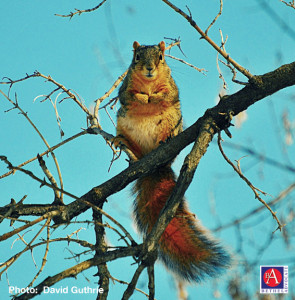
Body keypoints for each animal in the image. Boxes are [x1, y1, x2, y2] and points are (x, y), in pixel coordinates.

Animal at [113, 40, 231, 282]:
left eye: (161, 57)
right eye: (137, 57)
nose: (149, 68)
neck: (149, 84)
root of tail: (153, 165)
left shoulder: (172, 87)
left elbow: (168, 95)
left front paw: (155, 98)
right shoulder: (125, 89)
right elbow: (128, 96)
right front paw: (142, 98)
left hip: (173, 120)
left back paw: (165, 140)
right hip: (123, 124)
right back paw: (124, 144)